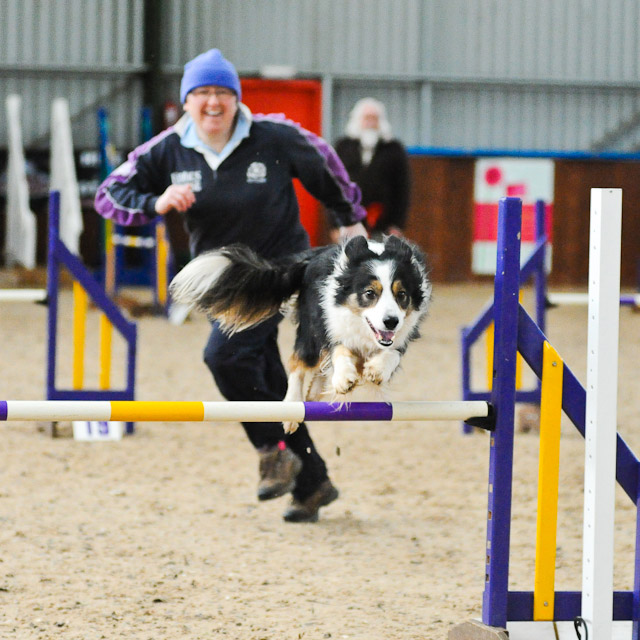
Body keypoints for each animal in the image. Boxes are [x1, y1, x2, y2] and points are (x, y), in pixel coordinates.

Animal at [168, 232, 432, 432]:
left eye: (402, 295)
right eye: (370, 293)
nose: (391, 321)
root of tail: (308, 258)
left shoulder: (402, 334)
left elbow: (391, 354)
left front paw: (376, 370)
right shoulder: (329, 322)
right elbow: (339, 350)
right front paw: (344, 378)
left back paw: (316, 391)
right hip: (309, 333)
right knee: (298, 363)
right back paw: (293, 410)